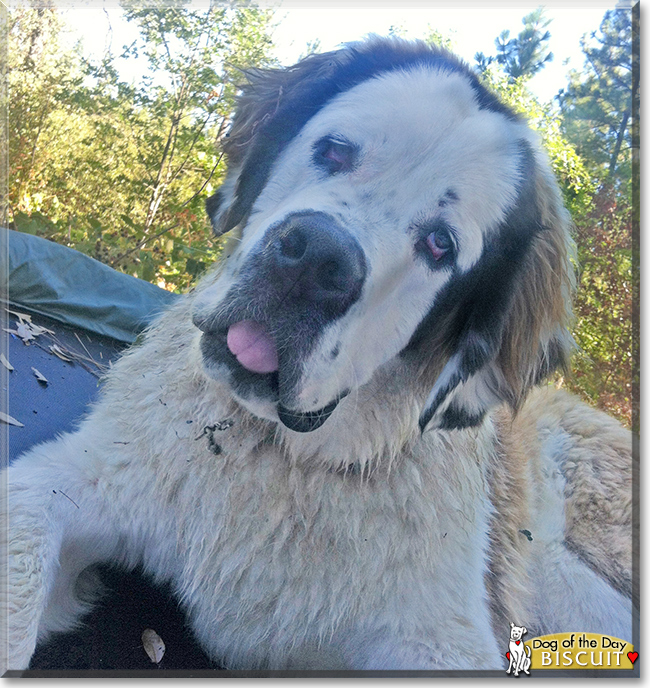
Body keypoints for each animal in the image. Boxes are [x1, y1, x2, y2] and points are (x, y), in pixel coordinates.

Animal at [2, 37, 632, 672]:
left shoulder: (439, 641)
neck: (280, 454)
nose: (315, 258)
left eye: (440, 244)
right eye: (335, 150)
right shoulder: (75, 481)